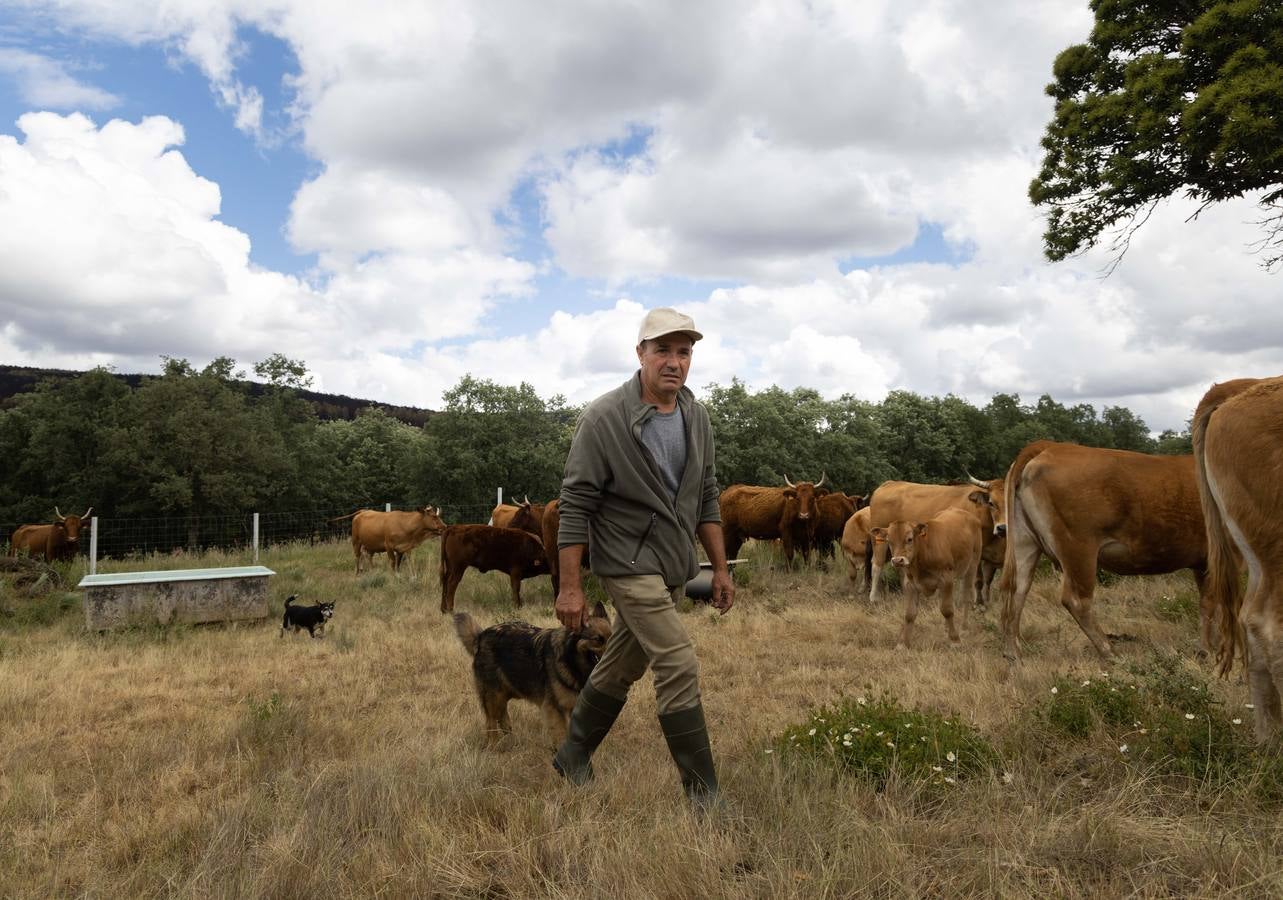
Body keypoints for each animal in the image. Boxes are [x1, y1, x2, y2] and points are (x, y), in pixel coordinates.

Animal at [451, 603, 610, 744]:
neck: (570, 659)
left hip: (503, 694)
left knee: (502, 717)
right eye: (597, 640)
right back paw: (493, 747)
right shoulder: (556, 710)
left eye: (612, 637)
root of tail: (481, 636)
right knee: (491, 724)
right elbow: (561, 736)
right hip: (493, 696)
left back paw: (511, 741)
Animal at [867, 477, 1005, 603]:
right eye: (991, 503)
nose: (1002, 528)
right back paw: (873, 598)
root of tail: (889, 484)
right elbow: (977, 580)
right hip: (880, 542)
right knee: (877, 564)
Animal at [872, 505, 980, 647]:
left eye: (909, 539)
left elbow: (947, 610)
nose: (897, 560)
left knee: (966, 597)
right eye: (889, 541)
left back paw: (964, 627)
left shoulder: (946, 579)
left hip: (972, 566)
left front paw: (954, 640)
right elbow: (910, 614)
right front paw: (904, 644)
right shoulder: (910, 584)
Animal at [1000, 439, 1211, 662]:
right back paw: (1110, 652)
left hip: (1024, 543)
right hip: (1079, 548)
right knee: (1076, 600)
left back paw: (1013, 654)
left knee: (1016, 590)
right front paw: (1209, 651)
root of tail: (1049, 446)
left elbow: (1206, 604)